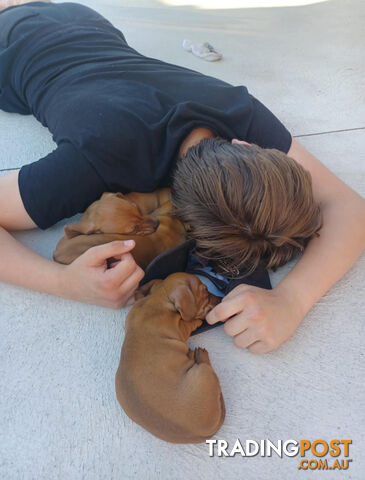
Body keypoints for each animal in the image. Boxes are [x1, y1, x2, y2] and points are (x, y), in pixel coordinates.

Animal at [116, 272, 225, 444]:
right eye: (204, 290)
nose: (221, 299)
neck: (158, 299)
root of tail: (204, 433)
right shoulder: (181, 329)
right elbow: (189, 323)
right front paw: (197, 320)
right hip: (203, 373)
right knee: (205, 364)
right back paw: (200, 354)